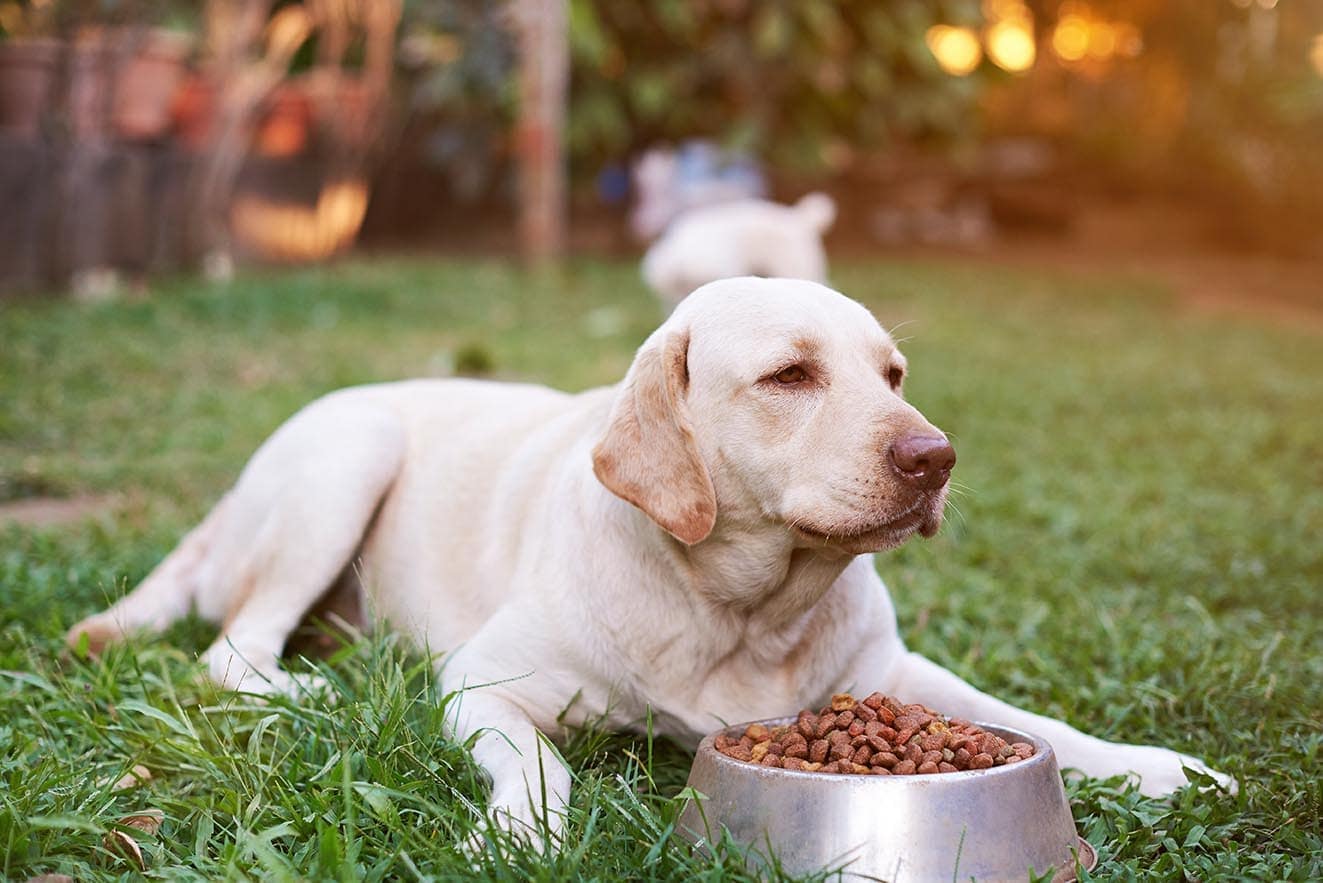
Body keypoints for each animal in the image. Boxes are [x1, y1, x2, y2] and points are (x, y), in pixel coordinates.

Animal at [67, 279, 1227, 847]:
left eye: (892, 373)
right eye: (790, 375)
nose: (935, 457)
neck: (742, 611)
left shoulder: (892, 678)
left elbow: (1037, 724)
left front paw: (1160, 766)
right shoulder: (483, 684)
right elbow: (542, 765)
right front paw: (518, 833)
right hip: (348, 454)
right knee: (230, 652)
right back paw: (316, 686)